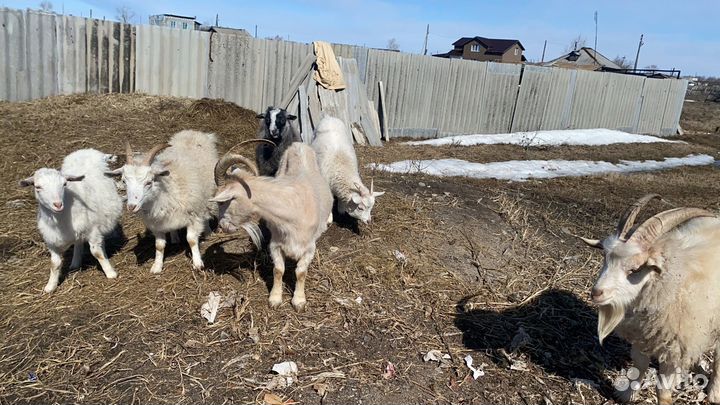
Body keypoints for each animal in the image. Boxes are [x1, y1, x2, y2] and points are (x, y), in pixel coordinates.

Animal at [20, 149, 123, 292]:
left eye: (64, 184)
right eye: (38, 187)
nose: (58, 204)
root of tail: (85, 150)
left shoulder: (92, 230)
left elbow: (97, 252)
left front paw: (110, 273)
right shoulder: (51, 240)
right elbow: (54, 263)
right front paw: (50, 286)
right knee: (79, 242)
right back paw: (75, 263)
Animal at [107, 130, 218, 273]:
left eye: (149, 182)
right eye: (124, 181)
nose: (131, 206)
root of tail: (193, 132)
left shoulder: (193, 214)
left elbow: (192, 240)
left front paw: (198, 264)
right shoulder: (157, 223)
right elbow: (159, 245)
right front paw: (157, 266)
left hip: (208, 193)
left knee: (206, 212)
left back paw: (208, 231)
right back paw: (175, 238)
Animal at [210, 142, 333, 311]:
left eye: (222, 202)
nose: (222, 226)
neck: (294, 209)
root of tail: (298, 144)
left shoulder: (309, 248)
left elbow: (301, 272)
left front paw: (299, 301)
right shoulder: (275, 244)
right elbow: (278, 270)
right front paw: (275, 299)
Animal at [571, 194, 720, 405]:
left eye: (634, 269)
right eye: (604, 258)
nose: (596, 292)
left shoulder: (672, 348)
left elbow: (663, 390)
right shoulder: (641, 334)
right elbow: (639, 366)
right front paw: (627, 395)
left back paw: (714, 393)